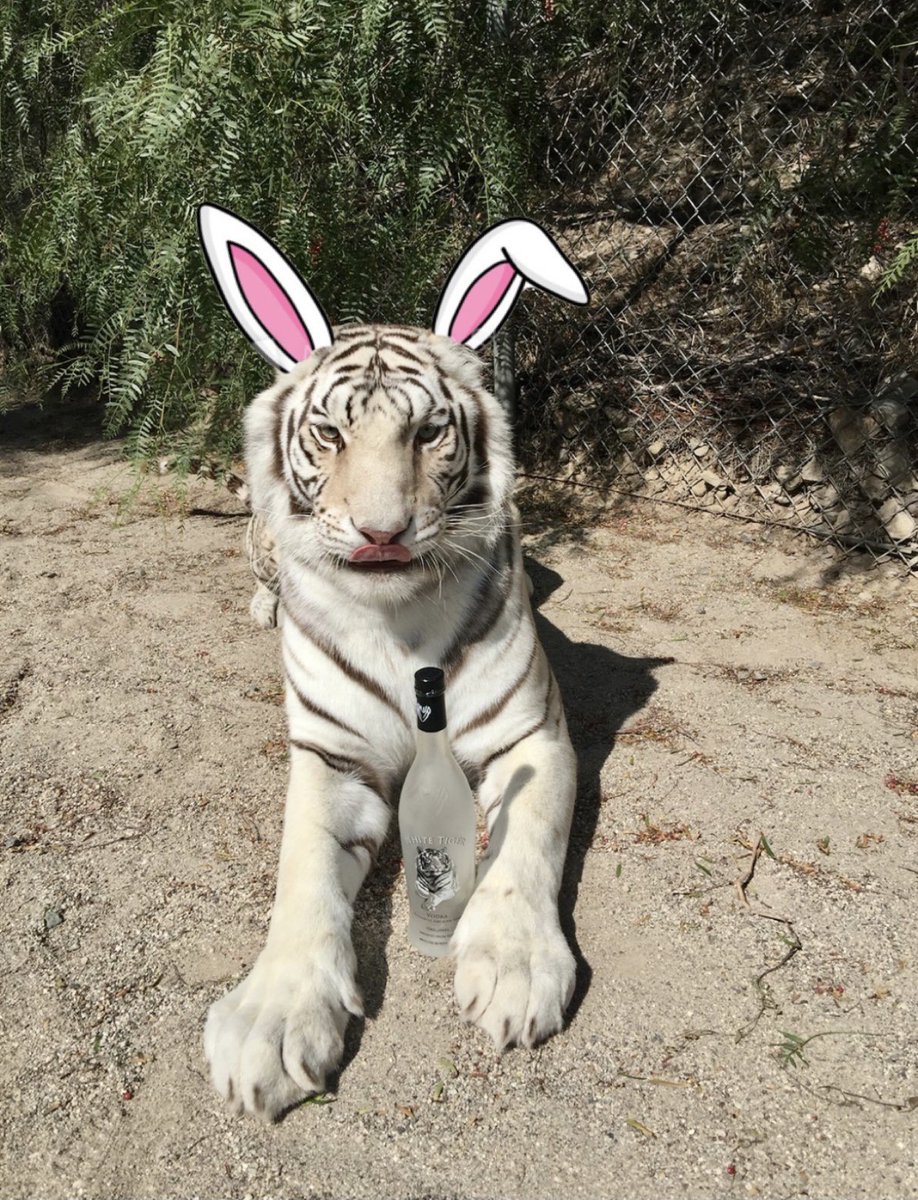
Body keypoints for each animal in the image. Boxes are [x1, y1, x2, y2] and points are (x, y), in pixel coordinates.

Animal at [198, 204, 589, 1121]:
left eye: (429, 431)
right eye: (330, 433)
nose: (382, 533)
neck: (397, 621)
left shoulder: (535, 738)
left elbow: (528, 847)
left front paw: (515, 967)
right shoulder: (330, 757)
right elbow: (302, 873)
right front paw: (271, 1017)